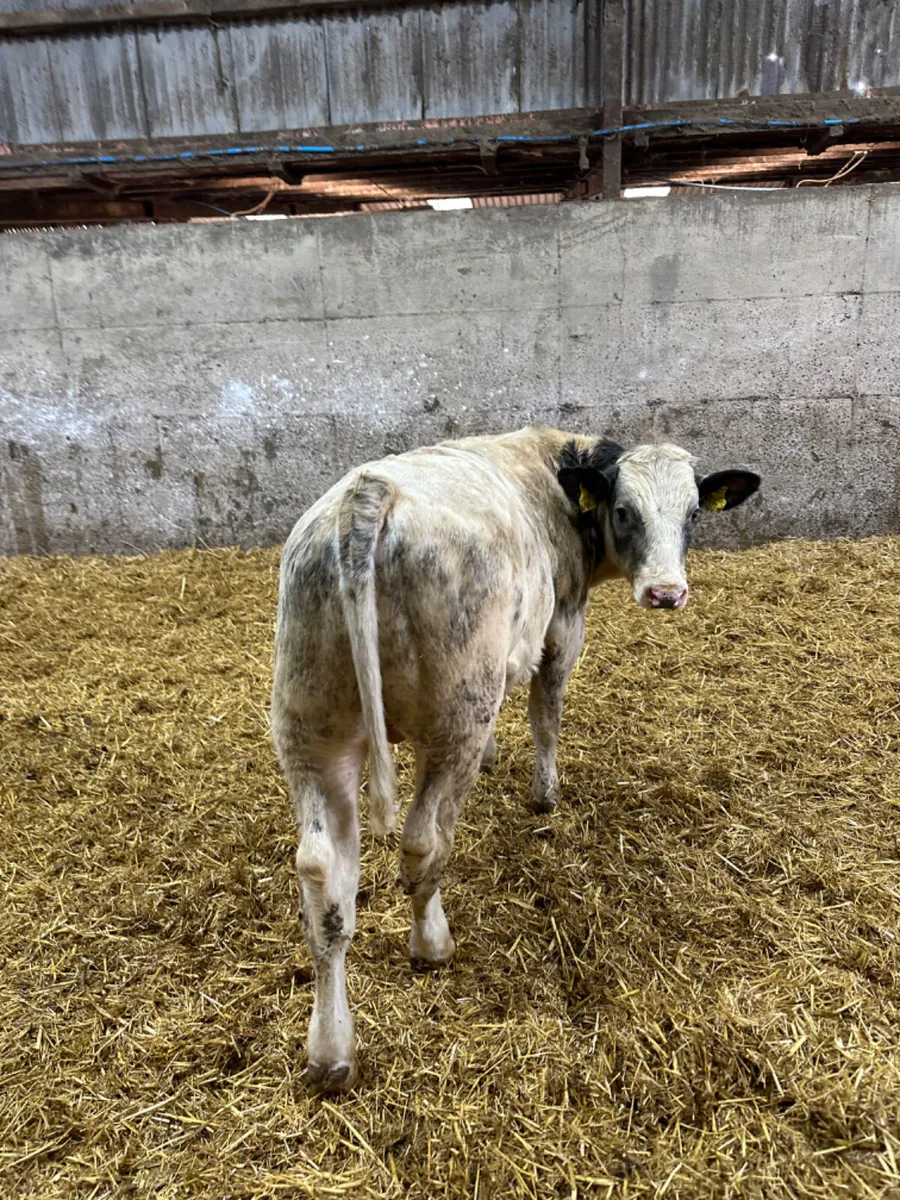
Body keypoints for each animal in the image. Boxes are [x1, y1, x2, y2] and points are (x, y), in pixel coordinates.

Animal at [270, 426, 760, 1094]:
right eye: (624, 511)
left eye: (692, 514)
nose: (666, 592)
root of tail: (369, 494)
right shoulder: (563, 625)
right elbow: (546, 715)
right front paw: (544, 793)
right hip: (457, 714)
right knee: (423, 840)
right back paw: (432, 943)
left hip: (312, 730)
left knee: (324, 876)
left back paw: (330, 1051)